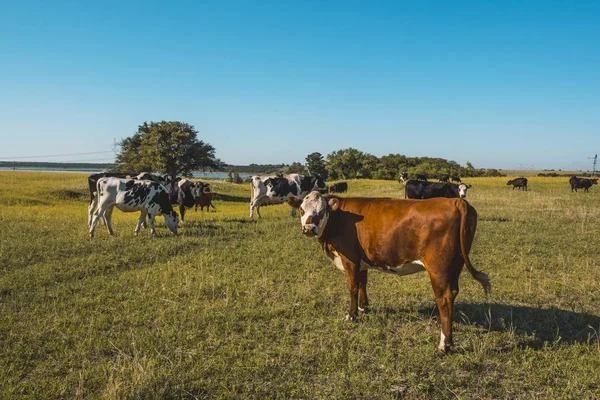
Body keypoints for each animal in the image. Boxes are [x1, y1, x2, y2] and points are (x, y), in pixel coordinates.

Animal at [288, 192, 490, 358]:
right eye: (301, 210)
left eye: (322, 211)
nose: (309, 228)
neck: (338, 219)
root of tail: (456, 201)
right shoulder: (362, 260)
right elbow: (363, 283)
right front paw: (364, 307)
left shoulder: (349, 259)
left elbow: (353, 287)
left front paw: (352, 315)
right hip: (456, 264)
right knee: (453, 293)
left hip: (438, 269)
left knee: (445, 299)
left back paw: (443, 347)